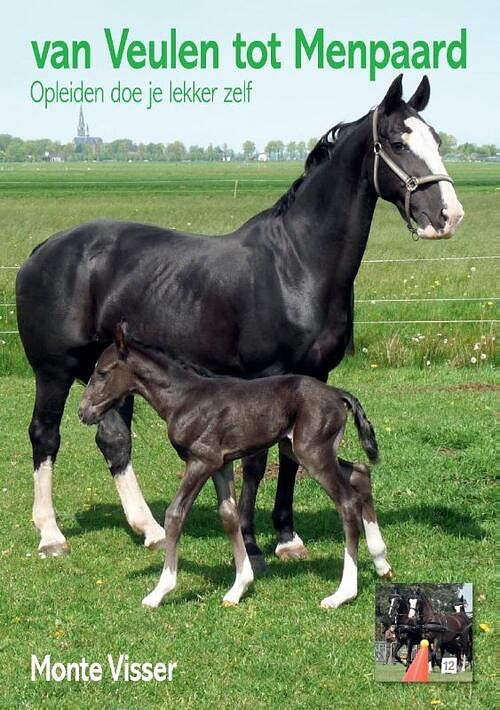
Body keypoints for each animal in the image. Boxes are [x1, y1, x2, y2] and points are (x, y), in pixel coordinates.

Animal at [79, 326, 390, 608]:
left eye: (103, 372)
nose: (83, 412)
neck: (183, 399)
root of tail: (338, 393)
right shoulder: (221, 464)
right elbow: (228, 515)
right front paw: (238, 588)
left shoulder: (201, 460)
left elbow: (175, 515)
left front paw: (159, 591)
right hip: (300, 449)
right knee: (361, 472)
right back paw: (380, 561)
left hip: (313, 453)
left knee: (347, 503)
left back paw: (342, 593)